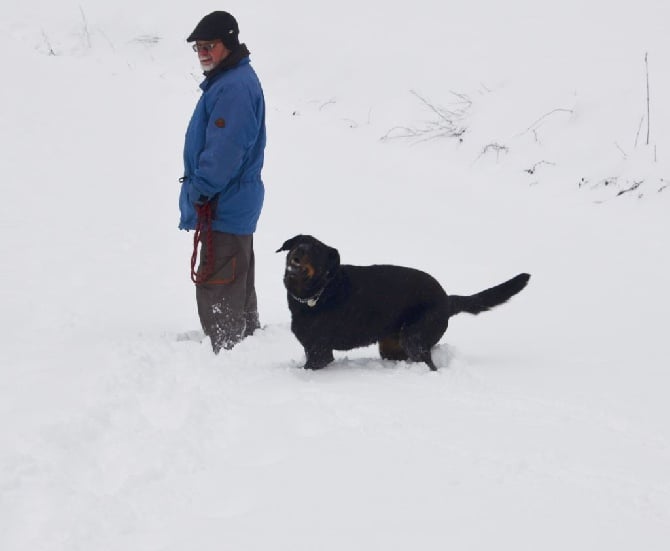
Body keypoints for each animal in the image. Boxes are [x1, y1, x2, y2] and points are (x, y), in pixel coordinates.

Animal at [276, 235, 532, 374]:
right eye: (299, 242)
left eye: (315, 250)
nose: (299, 250)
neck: (318, 293)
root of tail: (446, 298)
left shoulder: (319, 353)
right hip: (392, 346)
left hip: (414, 338)